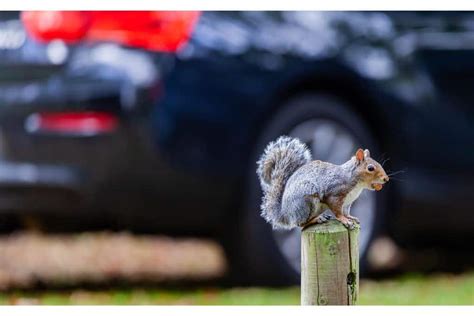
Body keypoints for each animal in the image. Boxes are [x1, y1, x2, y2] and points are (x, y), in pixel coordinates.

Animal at [256, 136, 388, 230]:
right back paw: (317, 219)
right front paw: (344, 220)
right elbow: (337, 211)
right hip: (306, 202)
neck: (355, 182)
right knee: (301, 224)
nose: (386, 179)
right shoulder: (335, 193)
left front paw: (350, 217)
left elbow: (346, 211)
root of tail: (285, 214)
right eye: (370, 168)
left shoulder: (347, 203)